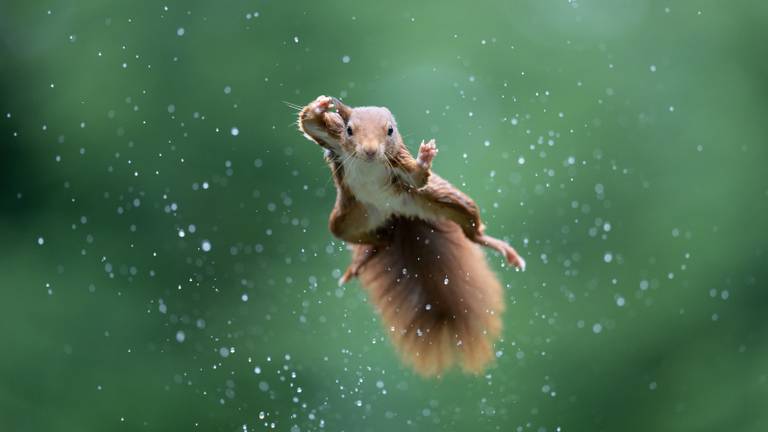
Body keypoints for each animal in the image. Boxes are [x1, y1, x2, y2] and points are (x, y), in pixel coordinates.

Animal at [296, 97, 524, 374]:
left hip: (444, 200)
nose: (370, 151)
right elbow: (308, 122)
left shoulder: (399, 164)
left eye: (390, 130)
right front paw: (320, 105)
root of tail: (396, 215)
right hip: (346, 220)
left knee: (471, 231)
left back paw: (502, 248)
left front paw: (425, 157)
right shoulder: (334, 139)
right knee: (377, 239)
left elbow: (417, 176)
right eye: (349, 130)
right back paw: (362, 259)